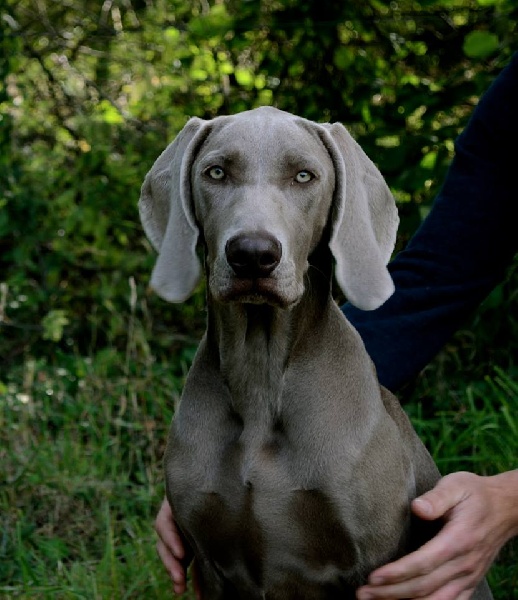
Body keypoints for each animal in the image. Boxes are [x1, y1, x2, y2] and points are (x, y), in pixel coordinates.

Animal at [139, 105, 496, 596]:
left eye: (304, 176)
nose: (253, 254)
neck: (261, 377)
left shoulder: (378, 563)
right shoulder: (207, 563)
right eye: (216, 172)